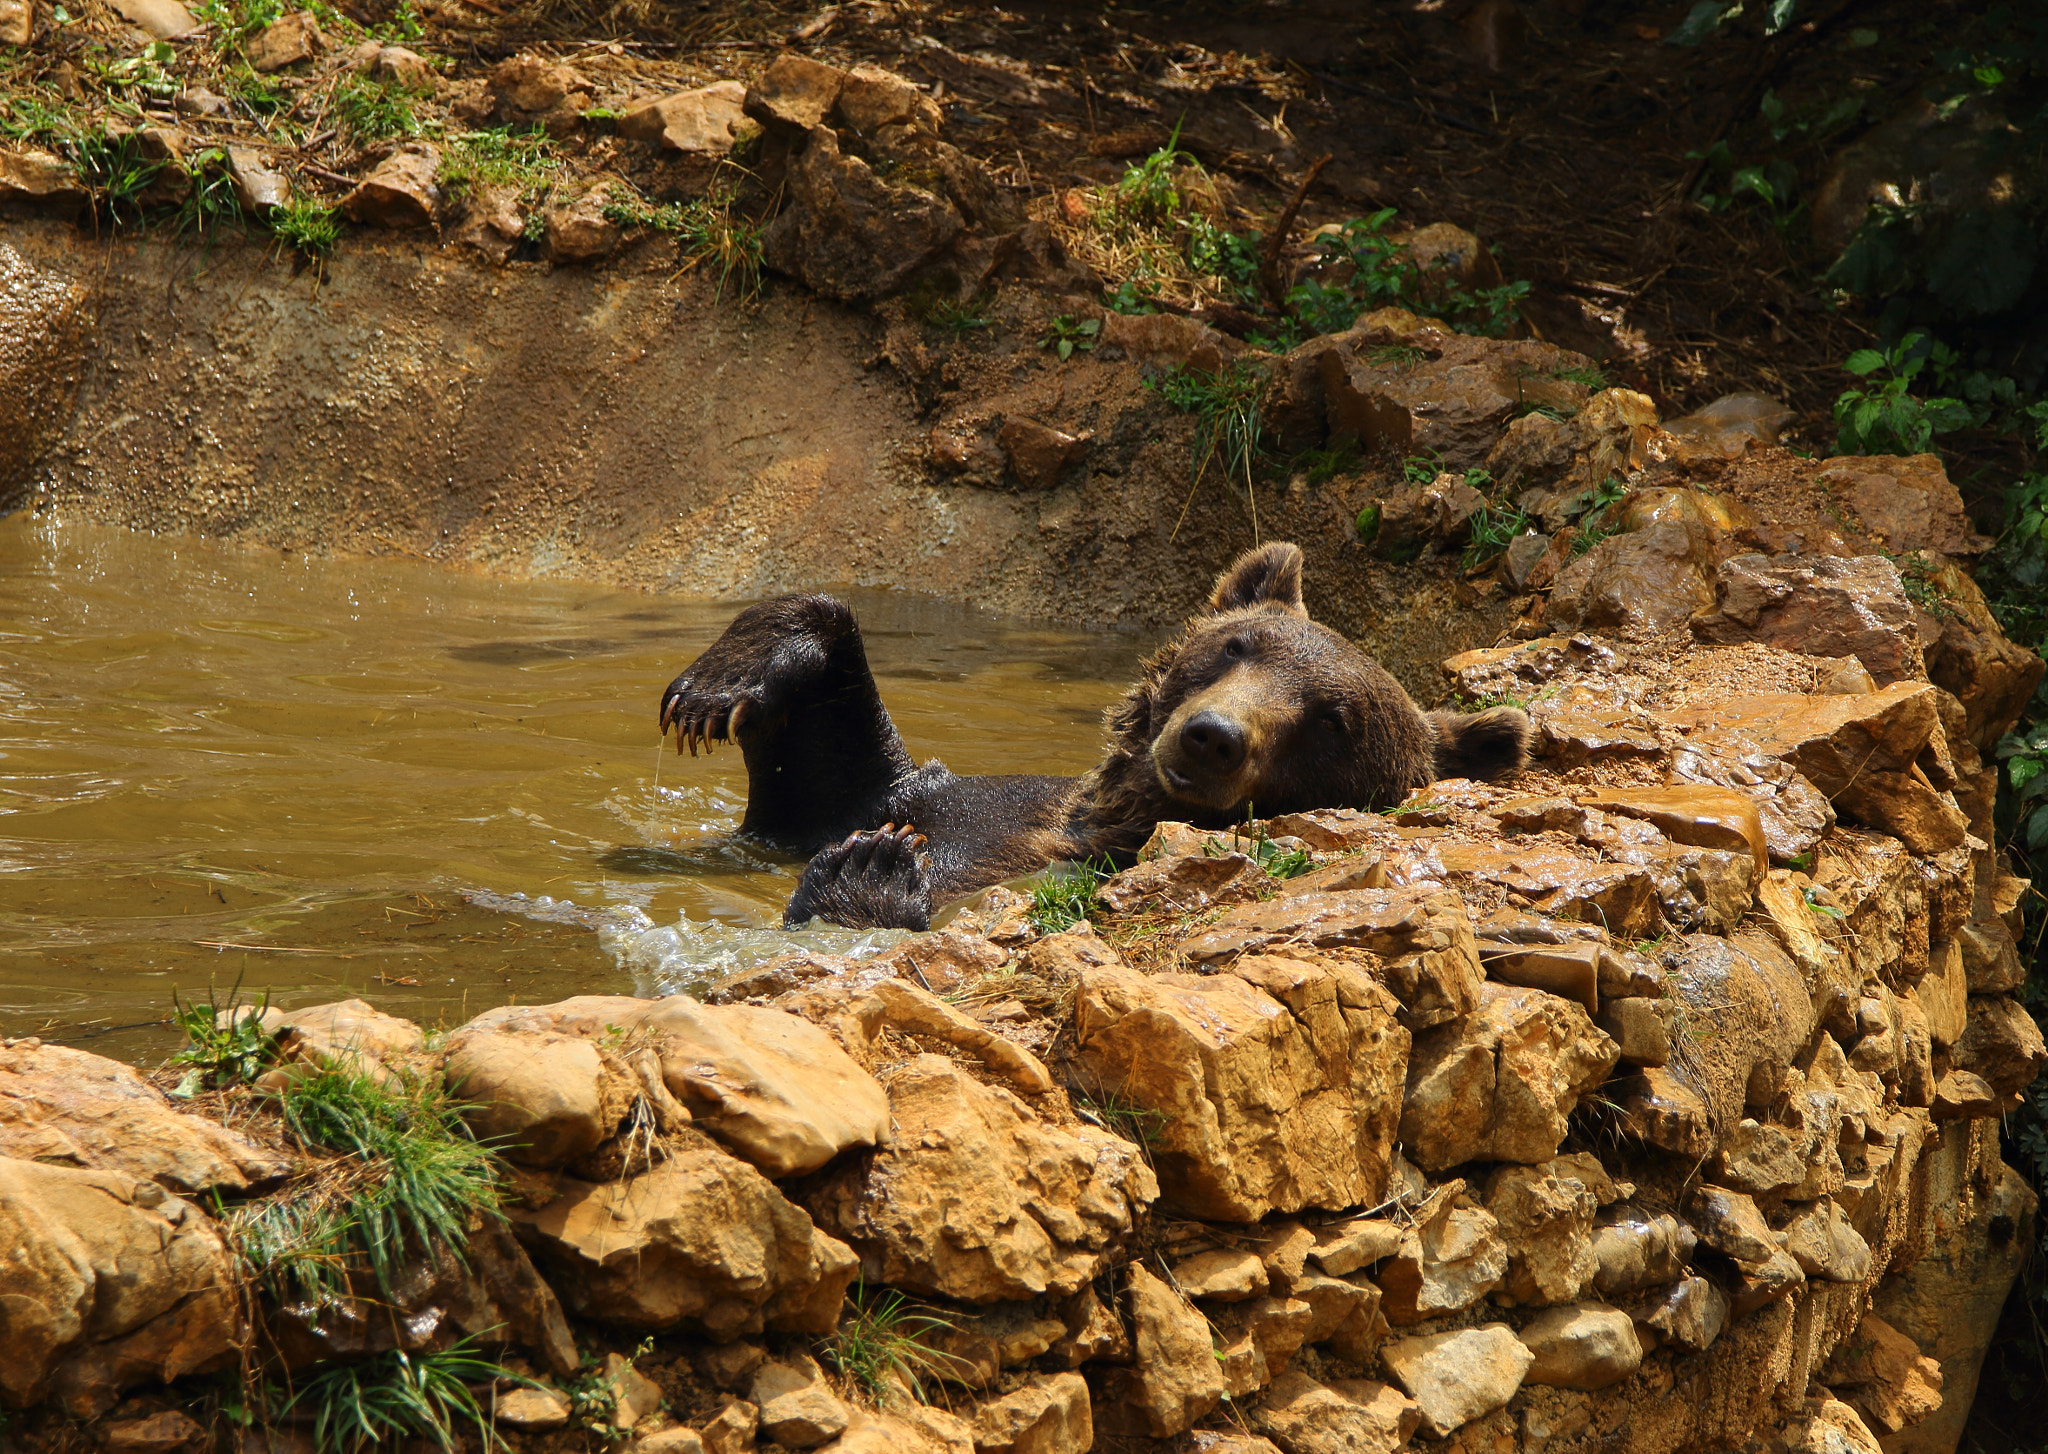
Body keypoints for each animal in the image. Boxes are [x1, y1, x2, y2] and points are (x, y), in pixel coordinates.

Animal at [657, 541, 1529, 930]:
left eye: (1332, 721)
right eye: (1238, 645)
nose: (1211, 737)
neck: (1098, 813)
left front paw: (873, 868)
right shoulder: (934, 795)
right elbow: (836, 761)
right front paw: (714, 687)